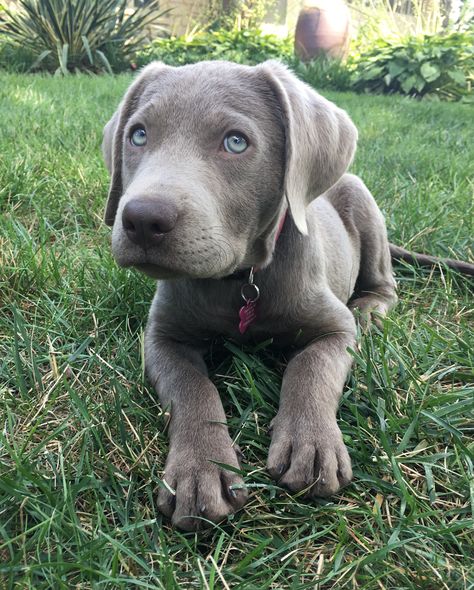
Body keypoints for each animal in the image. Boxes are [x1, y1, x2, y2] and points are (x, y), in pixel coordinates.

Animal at [102, 60, 398, 532]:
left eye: (236, 142)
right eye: (139, 135)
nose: (142, 219)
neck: (239, 280)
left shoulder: (335, 327)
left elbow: (311, 367)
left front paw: (309, 444)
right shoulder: (162, 338)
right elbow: (192, 388)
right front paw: (201, 472)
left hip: (360, 197)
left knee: (385, 282)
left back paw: (371, 308)